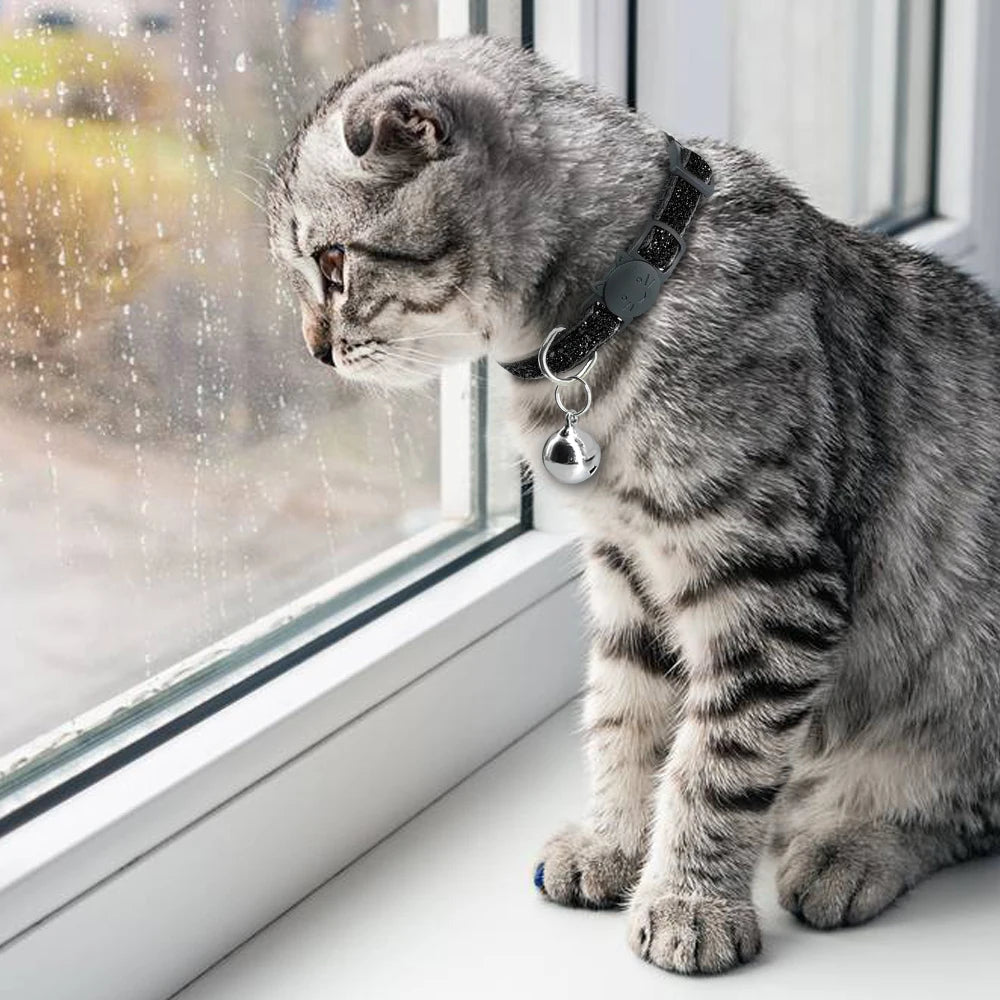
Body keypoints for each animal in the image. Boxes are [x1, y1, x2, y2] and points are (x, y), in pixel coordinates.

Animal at [270, 35, 1000, 972]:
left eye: (333, 265)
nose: (313, 351)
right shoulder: (628, 567)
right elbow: (628, 718)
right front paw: (616, 841)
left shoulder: (767, 582)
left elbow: (718, 759)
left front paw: (691, 898)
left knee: (956, 800)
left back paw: (853, 841)